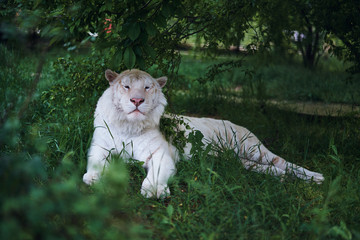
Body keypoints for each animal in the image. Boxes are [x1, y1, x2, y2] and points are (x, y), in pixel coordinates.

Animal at [83, 68, 324, 198]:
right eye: (126, 86)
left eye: (147, 87)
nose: (136, 100)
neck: (129, 126)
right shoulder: (100, 147)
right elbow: (96, 162)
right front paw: (93, 177)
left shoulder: (161, 154)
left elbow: (156, 174)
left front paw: (154, 190)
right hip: (242, 161)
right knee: (272, 169)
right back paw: (283, 178)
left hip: (253, 149)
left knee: (285, 163)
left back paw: (317, 178)